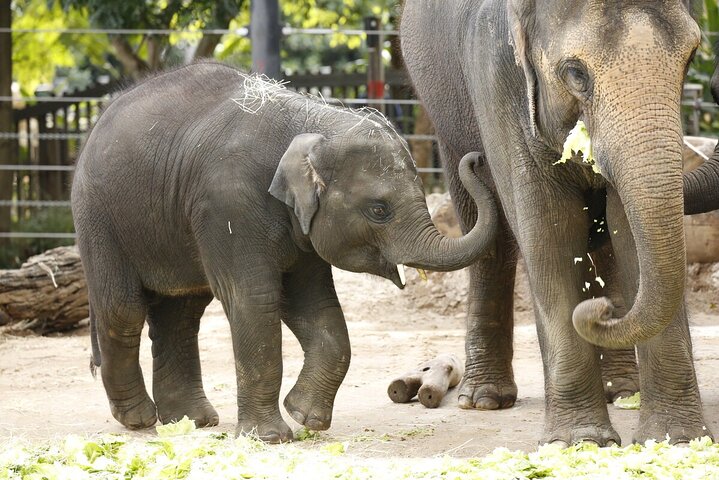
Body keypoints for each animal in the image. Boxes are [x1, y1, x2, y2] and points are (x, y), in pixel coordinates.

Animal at [73, 62, 498, 444]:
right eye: (380, 210)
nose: (476, 157)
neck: (312, 122)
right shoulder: (229, 206)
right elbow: (255, 300)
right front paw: (271, 437)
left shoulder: (300, 225)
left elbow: (316, 305)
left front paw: (305, 417)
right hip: (98, 219)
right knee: (123, 309)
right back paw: (139, 419)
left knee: (182, 312)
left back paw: (192, 421)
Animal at [402, 0, 712, 446]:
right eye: (576, 73)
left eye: (689, 58)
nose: (600, 311)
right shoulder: (498, 73)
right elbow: (549, 229)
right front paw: (580, 441)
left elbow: (627, 229)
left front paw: (677, 440)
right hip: (447, 117)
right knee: (492, 241)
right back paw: (484, 399)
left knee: (603, 246)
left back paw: (624, 389)